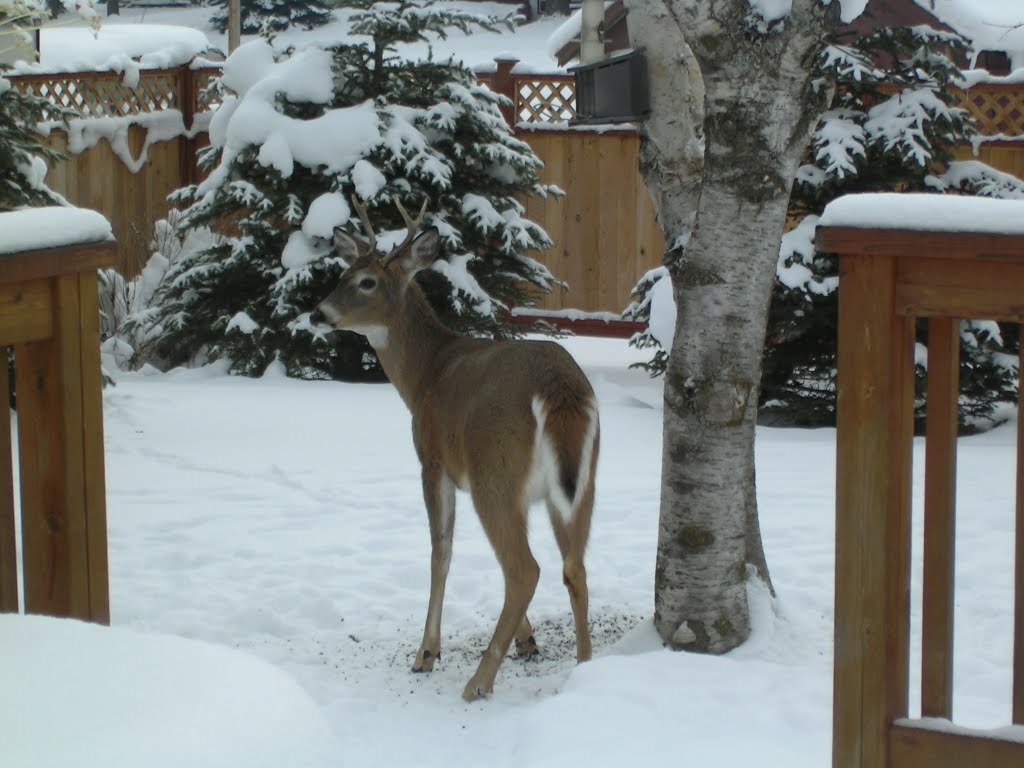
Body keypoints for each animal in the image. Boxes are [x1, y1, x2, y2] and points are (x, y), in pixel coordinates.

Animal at [311, 199, 598, 704]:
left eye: (366, 282)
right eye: (343, 272)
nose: (317, 314)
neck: (425, 374)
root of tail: (559, 386)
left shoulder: (433, 461)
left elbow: (440, 550)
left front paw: (426, 652)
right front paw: (527, 640)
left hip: (495, 472)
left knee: (524, 568)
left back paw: (478, 682)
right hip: (581, 481)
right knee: (573, 567)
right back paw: (584, 668)